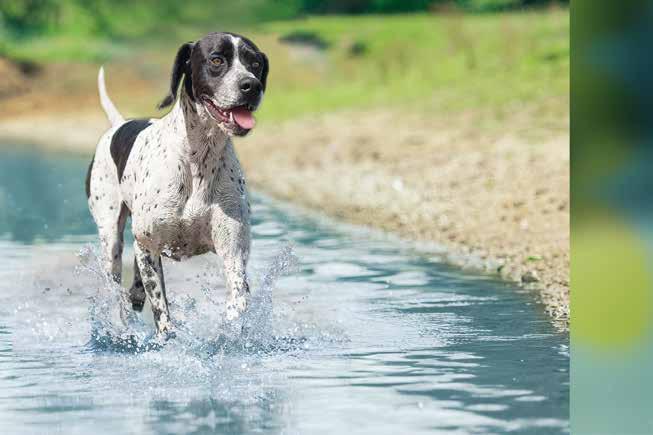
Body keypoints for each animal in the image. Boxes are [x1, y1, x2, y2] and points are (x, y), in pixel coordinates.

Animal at [86, 32, 268, 338]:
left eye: (255, 63)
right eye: (216, 60)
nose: (251, 86)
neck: (200, 159)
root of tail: (119, 124)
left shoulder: (233, 250)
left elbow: (238, 298)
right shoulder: (148, 246)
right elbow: (162, 313)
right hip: (111, 237)